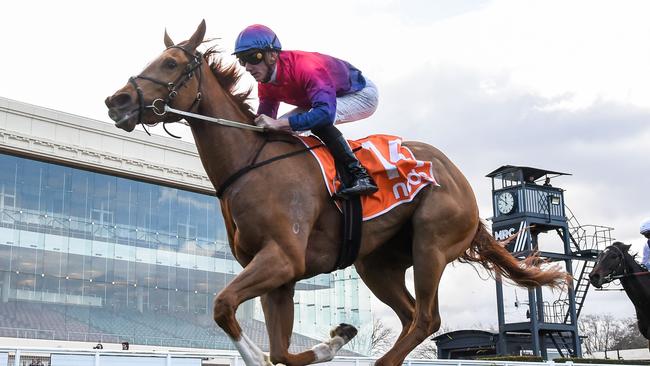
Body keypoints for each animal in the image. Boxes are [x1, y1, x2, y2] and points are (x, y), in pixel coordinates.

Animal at [105, 20, 568, 366]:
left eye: (170, 63)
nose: (117, 100)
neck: (250, 164)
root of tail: (462, 182)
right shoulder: (278, 274)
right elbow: (280, 351)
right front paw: (335, 338)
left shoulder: (283, 258)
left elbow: (223, 306)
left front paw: (266, 353)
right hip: (377, 263)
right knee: (411, 315)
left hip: (432, 244)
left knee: (427, 319)